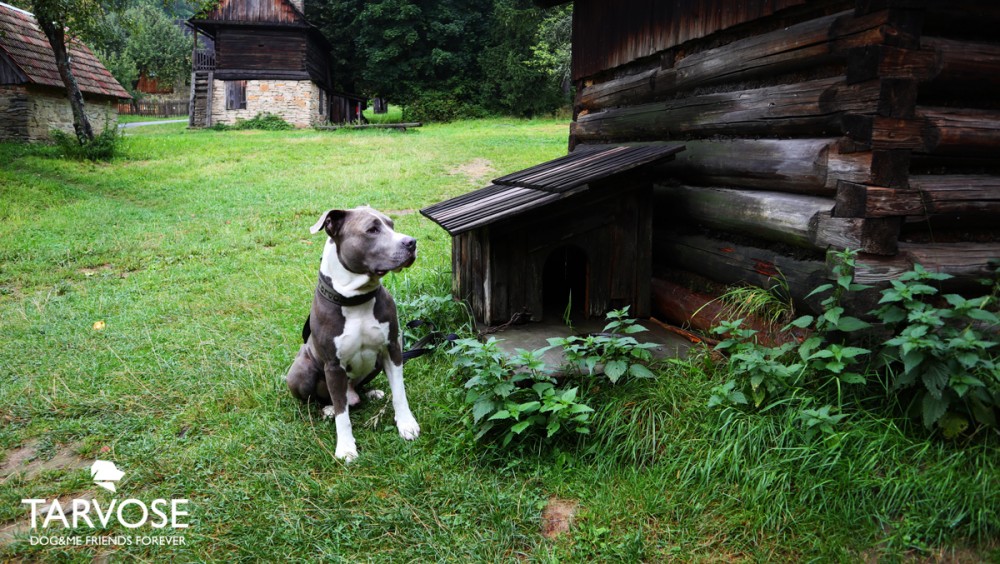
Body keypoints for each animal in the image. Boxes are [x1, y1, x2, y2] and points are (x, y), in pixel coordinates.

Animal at [286, 205, 418, 460]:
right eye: (372, 230)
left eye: (391, 225)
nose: (411, 242)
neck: (356, 299)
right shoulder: (333, 366)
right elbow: (342, 414)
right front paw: (346, 447)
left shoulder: (392, 349)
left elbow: (400, 392)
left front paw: (406, 424)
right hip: (300, 372)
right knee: (324, 400)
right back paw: (327, 408)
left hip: (375, 364)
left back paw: (370, 393)